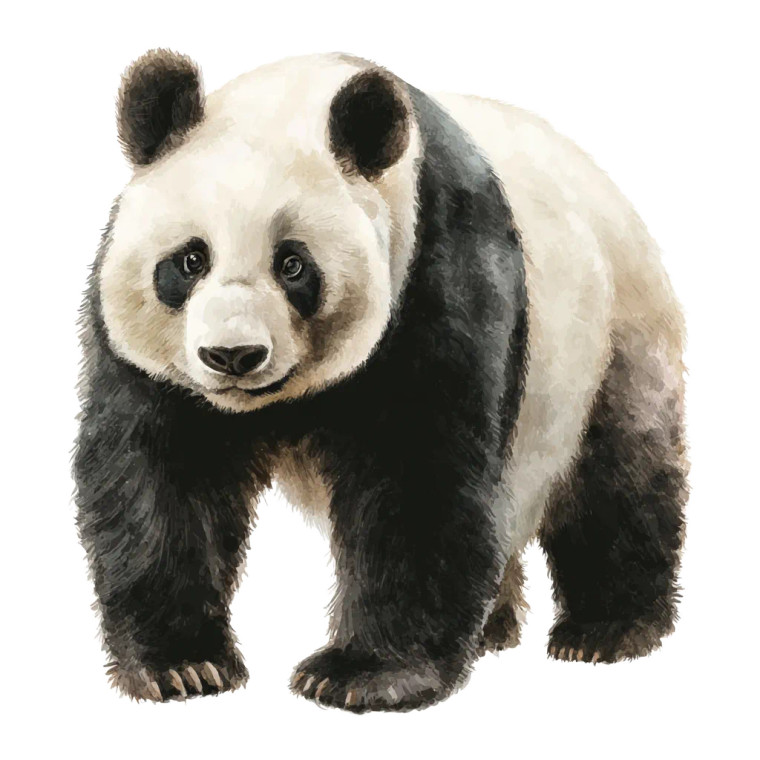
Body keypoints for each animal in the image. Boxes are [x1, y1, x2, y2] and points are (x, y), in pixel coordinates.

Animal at [75, 50, 688, 712]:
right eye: (190, 260)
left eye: (293, 265)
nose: (233, 356)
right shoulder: (150, 363)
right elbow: (161, 478)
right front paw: (183, 666)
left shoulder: (436, 275)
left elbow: (418, 477)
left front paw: (363, 674)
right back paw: (495, 626)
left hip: (615, 335)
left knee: (617, 478)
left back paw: (606, 630)